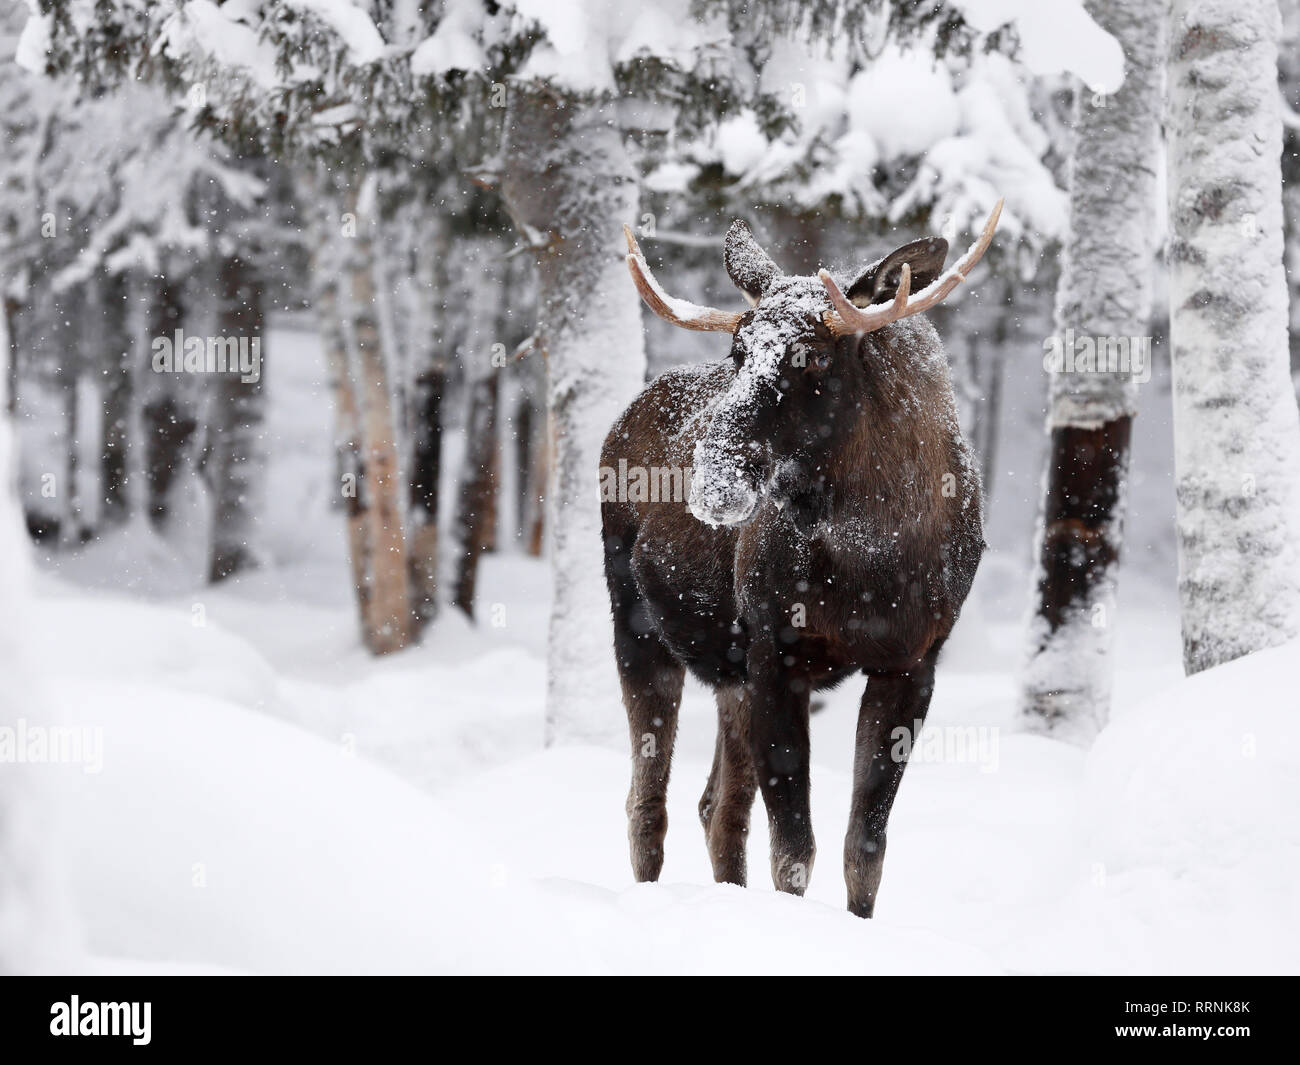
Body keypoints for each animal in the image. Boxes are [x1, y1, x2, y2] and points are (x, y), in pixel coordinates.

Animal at [600, 200, 1002, 917]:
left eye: (813, 355)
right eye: (738, 350)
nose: (714, 472)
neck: (877, 559)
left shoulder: (912, 663)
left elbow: (864, 848)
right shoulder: (775, 651)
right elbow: (793, 849)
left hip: (727, 672)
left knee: (718, 807)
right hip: (638, 630)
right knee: (648, 802)